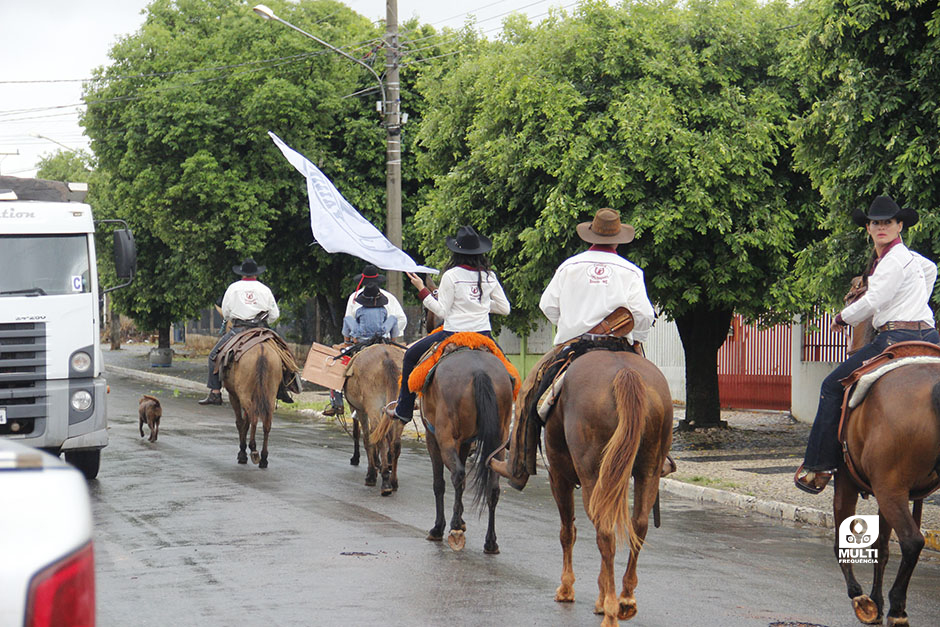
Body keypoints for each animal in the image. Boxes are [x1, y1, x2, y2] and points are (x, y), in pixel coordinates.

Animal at [222, 340, 284, 468]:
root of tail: (262, 351)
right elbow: (246, 423)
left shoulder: (234, 396)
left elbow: (241, 423)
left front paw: (242, 453)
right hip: (270, 395)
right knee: (267, 423)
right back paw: (264, 458)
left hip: (244, 395)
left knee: (254, 418)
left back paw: (254, 449)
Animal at [344, 344, 406, 496]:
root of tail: (387, 358)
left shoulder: (359, 410)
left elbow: (366, 438)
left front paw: (371, 473)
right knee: (395, 443)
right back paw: (393, 481)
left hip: (373, 406)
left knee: (380, 440)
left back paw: (385, 482)